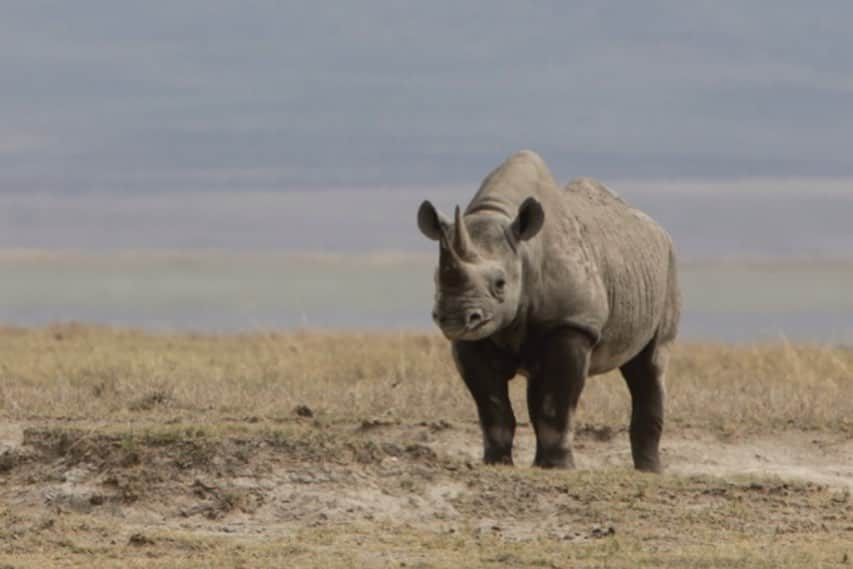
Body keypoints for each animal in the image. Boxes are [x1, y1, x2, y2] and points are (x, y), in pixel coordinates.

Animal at [416, 150, 684, 470]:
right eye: (436, 278)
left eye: (500, 284)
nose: (456, 318)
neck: (524, 250)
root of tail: (657, 227)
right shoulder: (476, 335)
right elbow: (491, 405)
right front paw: (497, 463)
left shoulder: (571, 323)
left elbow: (556, 403)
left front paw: (557, 467)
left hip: (668, 265)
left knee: (650, 365)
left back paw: (650, 471)